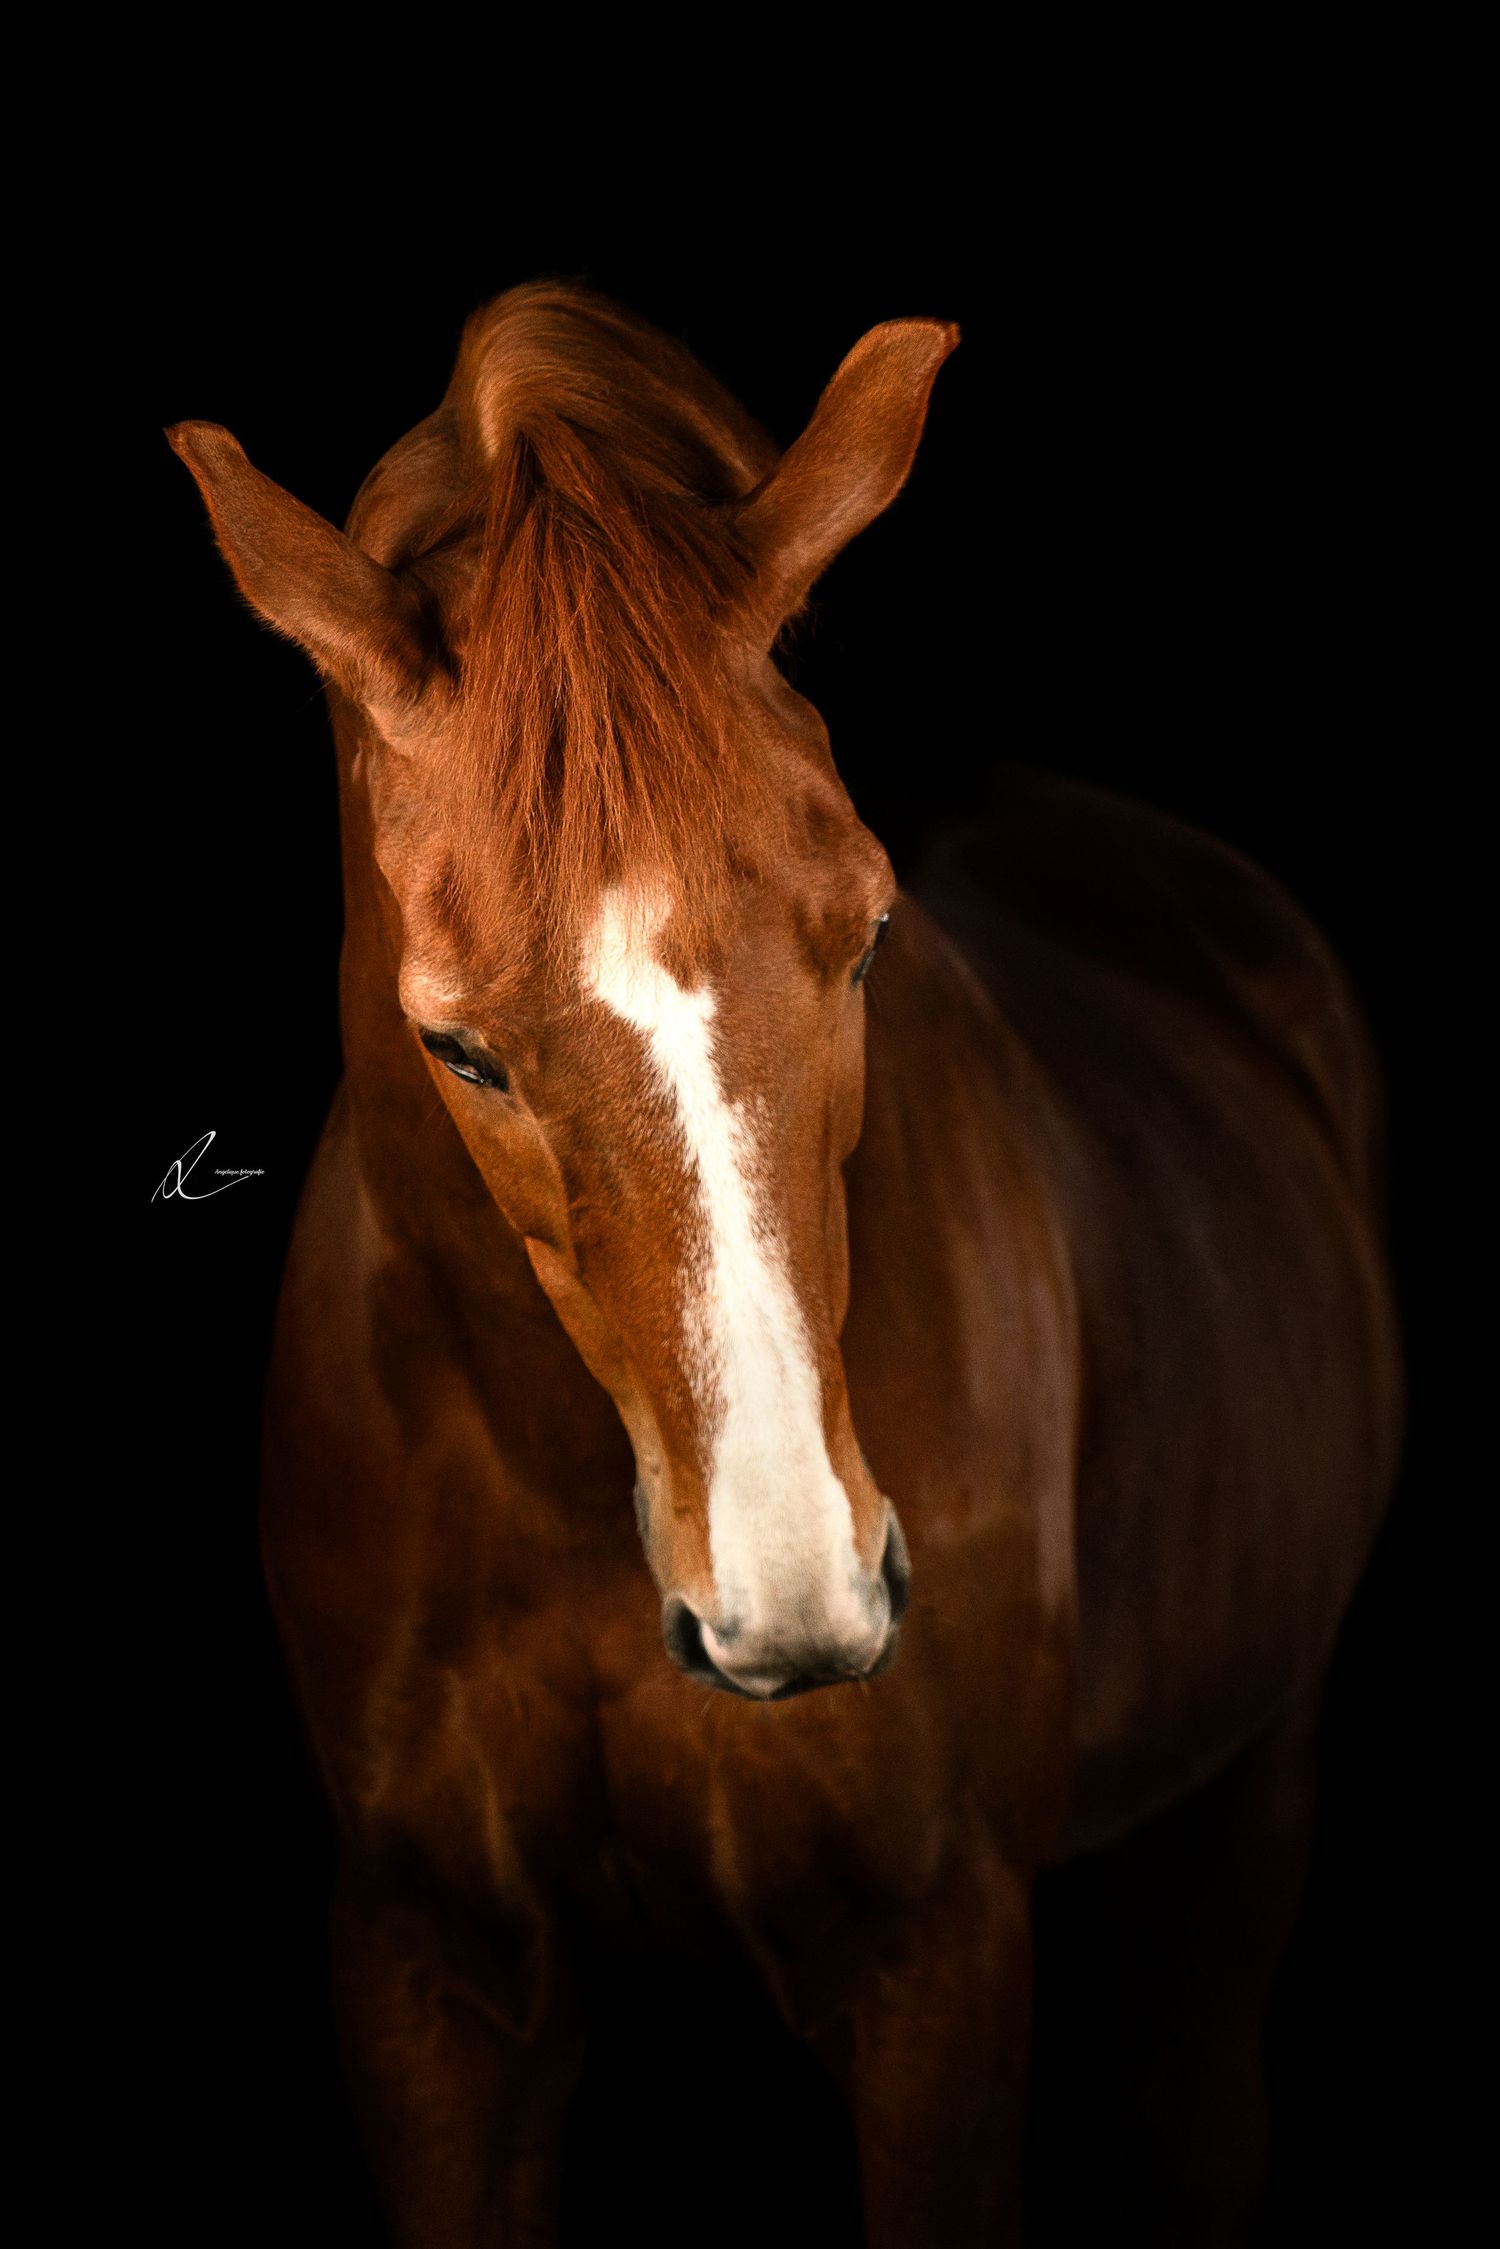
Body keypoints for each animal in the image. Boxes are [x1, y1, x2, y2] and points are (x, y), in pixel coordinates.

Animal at [167, 278, 1404, 2246]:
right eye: (459, 1048)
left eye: (871, 931)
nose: (797, 1596)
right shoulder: (433, 1973)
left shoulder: (936, 1964)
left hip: (1248, 1797)